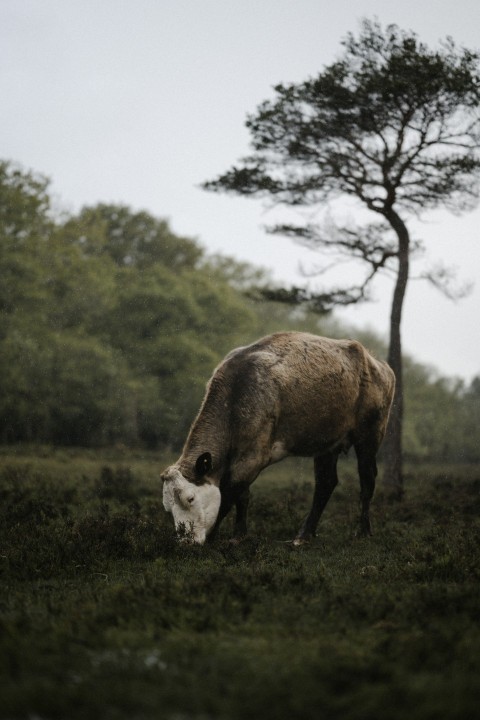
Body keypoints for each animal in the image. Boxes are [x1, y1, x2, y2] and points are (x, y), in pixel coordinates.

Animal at [161, 331, 395, 545]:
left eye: (190, 498)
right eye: (167, 508)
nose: (185, 541)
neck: (237, 392)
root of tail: (378, 364)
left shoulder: (253, 456)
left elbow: (231, 493)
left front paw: (220, 537)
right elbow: (242, 496)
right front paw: (238, 535)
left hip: (370, 434)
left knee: (367, 479)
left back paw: (363, 531)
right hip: (327, 443)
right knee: (326, 483)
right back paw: (304, 535)